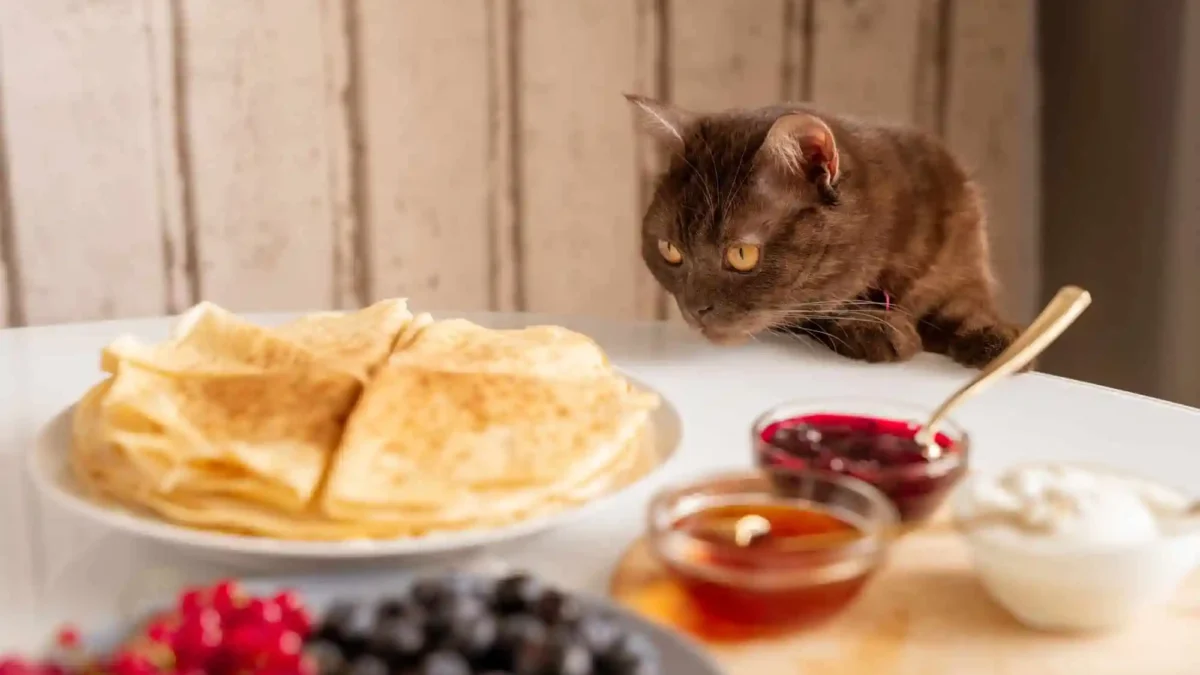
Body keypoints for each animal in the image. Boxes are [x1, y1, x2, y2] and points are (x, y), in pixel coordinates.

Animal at [628, 93, 1022, 365]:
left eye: (741, 254)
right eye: (670, 250)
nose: (695, 309)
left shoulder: (962, 247)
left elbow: (968, 301)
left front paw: (999, 337)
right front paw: (874, 325)